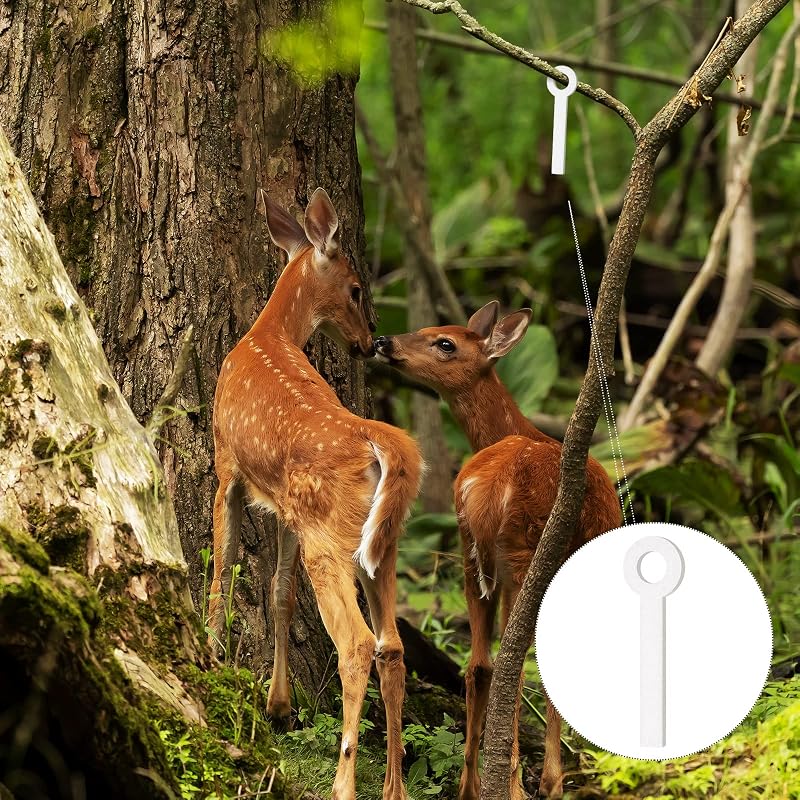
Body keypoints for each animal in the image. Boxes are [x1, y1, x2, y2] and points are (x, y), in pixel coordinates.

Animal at [210, 188, 422, 800]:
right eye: (355, 287)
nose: (368, 342)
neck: (266, 335)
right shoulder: (285, 507)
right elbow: (279, 593)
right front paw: (278, 706)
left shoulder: (227, 463)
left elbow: (222, 571)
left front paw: (209, 658)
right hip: (380, 543)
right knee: (392, 646)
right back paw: (394, 786)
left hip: (329, 538)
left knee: (356, 645)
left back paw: (343, 783)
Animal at [374, 301, 622, 800]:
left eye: (444, 341)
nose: (383, 341)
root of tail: (487, 487)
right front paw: (551, 780)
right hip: (525, 552)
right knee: (515, 663)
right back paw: (519, 783)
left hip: (473, 554)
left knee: (480, 665)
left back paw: (471, 785)